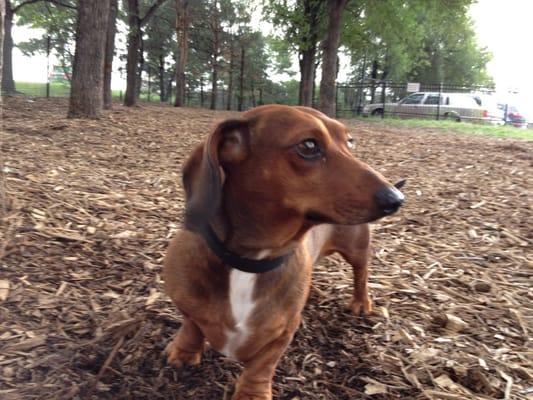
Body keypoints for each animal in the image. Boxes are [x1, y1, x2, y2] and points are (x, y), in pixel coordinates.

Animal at [163, 104, 404, 398]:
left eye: (350, 142)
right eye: (309, 145)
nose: (395, 199)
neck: (249, 260)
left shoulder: (284, 331)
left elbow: (262, 366)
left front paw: (252, 393)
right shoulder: (185, 303)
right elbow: (192, 325)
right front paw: (184, 352)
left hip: (357, 246)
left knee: (361, 273)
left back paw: (361, 302)